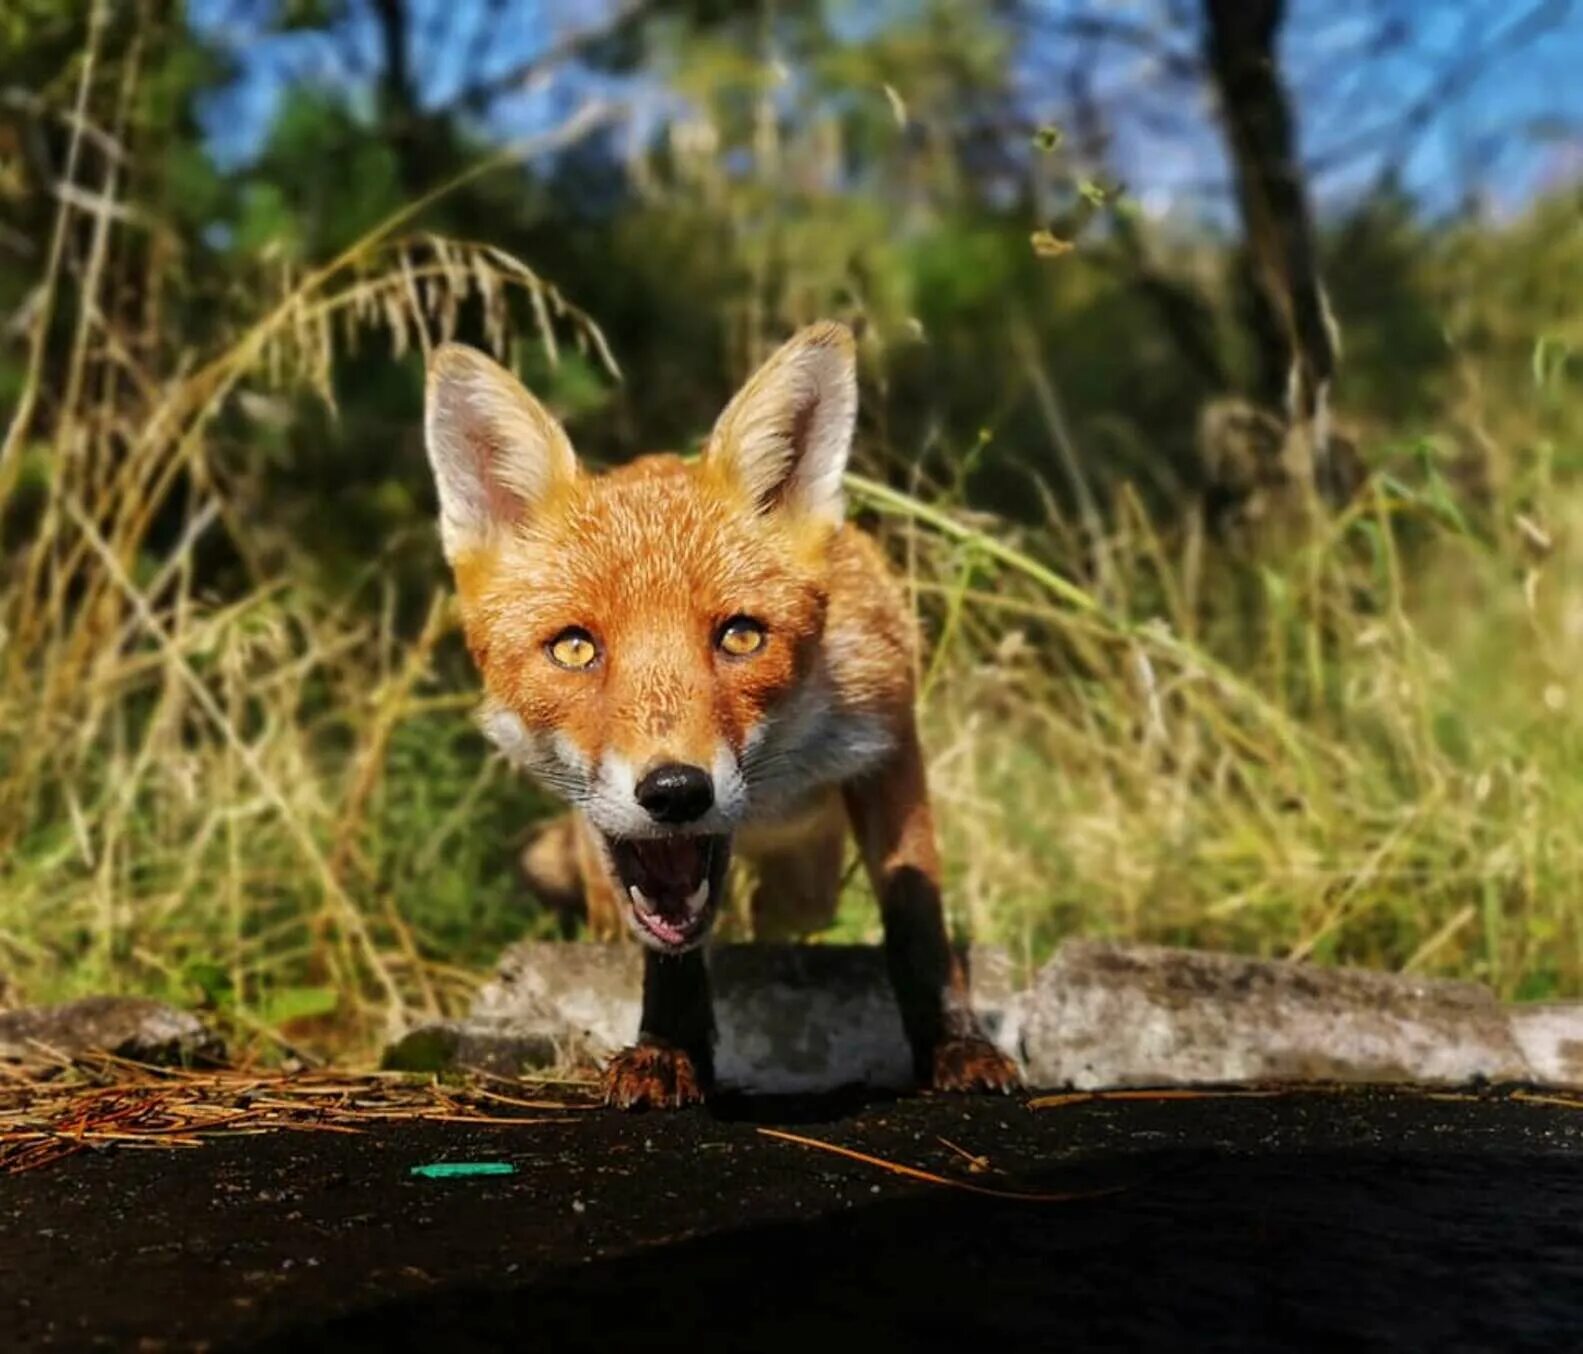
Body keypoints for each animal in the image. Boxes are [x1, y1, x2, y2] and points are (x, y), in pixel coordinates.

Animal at [423, 320, 1021, 1108]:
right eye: (575, 649)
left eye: (740, 637)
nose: (677, 792)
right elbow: (666, 941)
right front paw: (668, 1048)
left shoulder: (891, 741)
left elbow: (916, 918)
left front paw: (956, 1048)